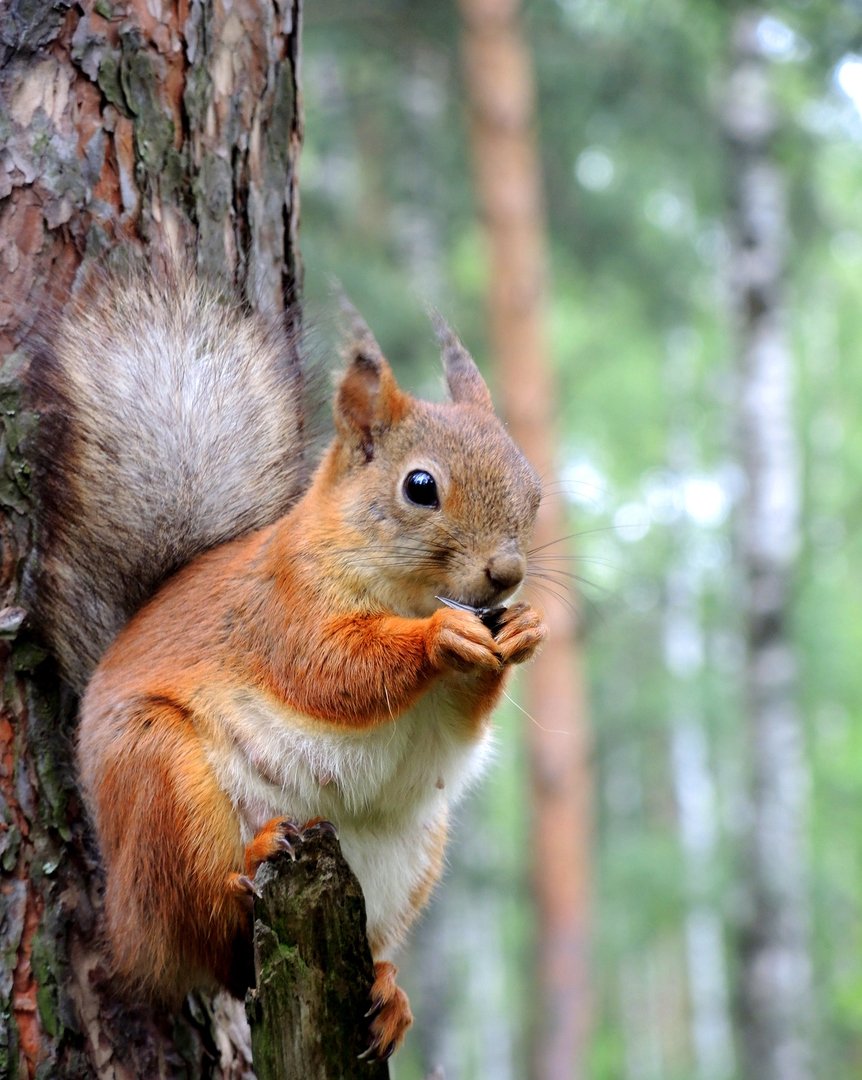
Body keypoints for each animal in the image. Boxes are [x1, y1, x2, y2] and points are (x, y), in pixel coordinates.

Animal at [30, 263, 550, 1062]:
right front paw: (439, 637)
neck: (399, 590)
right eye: (420, 486)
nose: (507, 575)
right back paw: (246, 865)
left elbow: (460, 719)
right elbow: (332, 672)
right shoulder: (282, 610)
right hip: (159, 781)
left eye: (534, 489)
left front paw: (519, 632)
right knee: (199, 931)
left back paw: (389, 994)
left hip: (409, 856)